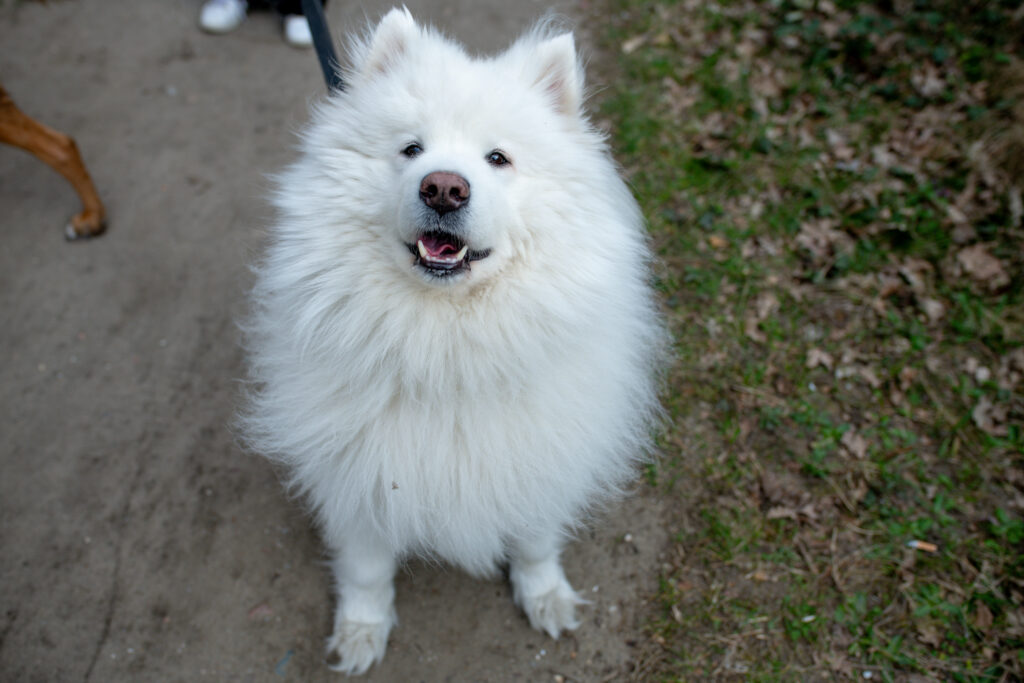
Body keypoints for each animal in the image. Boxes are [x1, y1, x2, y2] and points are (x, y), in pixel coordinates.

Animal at [241, 9, 663, 674]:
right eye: (411, 149)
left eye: (498, 158)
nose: (443, 187)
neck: (446, 347)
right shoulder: (357, 479)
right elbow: (366, 573)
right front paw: (361, 633)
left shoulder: (541, 457)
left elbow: (536, 544)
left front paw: (546, 598)